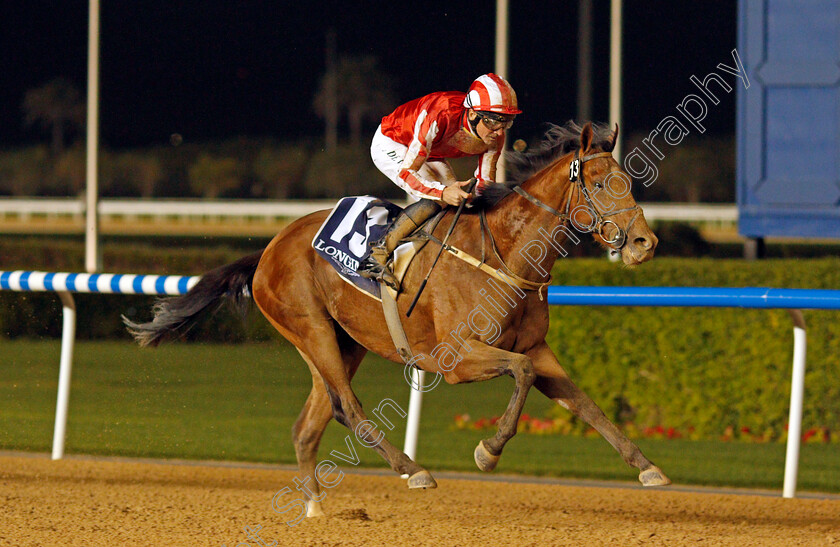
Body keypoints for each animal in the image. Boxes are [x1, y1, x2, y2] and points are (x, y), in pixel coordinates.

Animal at [128, 122, 672, 520]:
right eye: (599, 183)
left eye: (629, 182)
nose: (644, 243)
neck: (504, 252)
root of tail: (268, 249)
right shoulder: (458, 359)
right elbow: (520, 375)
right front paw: (488, 451)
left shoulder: (537, 348)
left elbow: (585, 404)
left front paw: (647, 468)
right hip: (312, 329)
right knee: (348, 409)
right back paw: (413, 470)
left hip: (342, 343)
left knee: (309, 424)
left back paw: (315, 508)